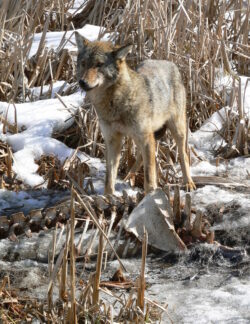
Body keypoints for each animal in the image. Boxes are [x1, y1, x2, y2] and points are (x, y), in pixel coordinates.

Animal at [75, 32, 196, 195]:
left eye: (99, 65)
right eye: (83, 63)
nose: (82, 82)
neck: (115, 102)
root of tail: (170, 63)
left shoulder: (145, 138)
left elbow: (149, 176)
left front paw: (150, 196)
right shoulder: (112, 140)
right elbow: (109, 177)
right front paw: (108, 197)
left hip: (176, 130)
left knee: (184, 155)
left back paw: (188, 183)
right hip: (140, 137)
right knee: (140, 157)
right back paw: (128, 177)